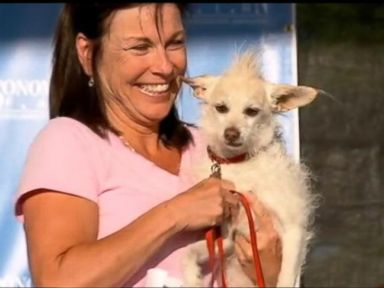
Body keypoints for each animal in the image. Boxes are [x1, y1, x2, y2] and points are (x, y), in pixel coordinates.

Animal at [182, 50, 320, 288]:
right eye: (221, 108)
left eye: (252, 111)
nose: (231, 133)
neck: (241, 164)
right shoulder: (228, 239)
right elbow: (189, 253)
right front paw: (192, 279)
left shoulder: (293, 230)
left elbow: (286, 277)